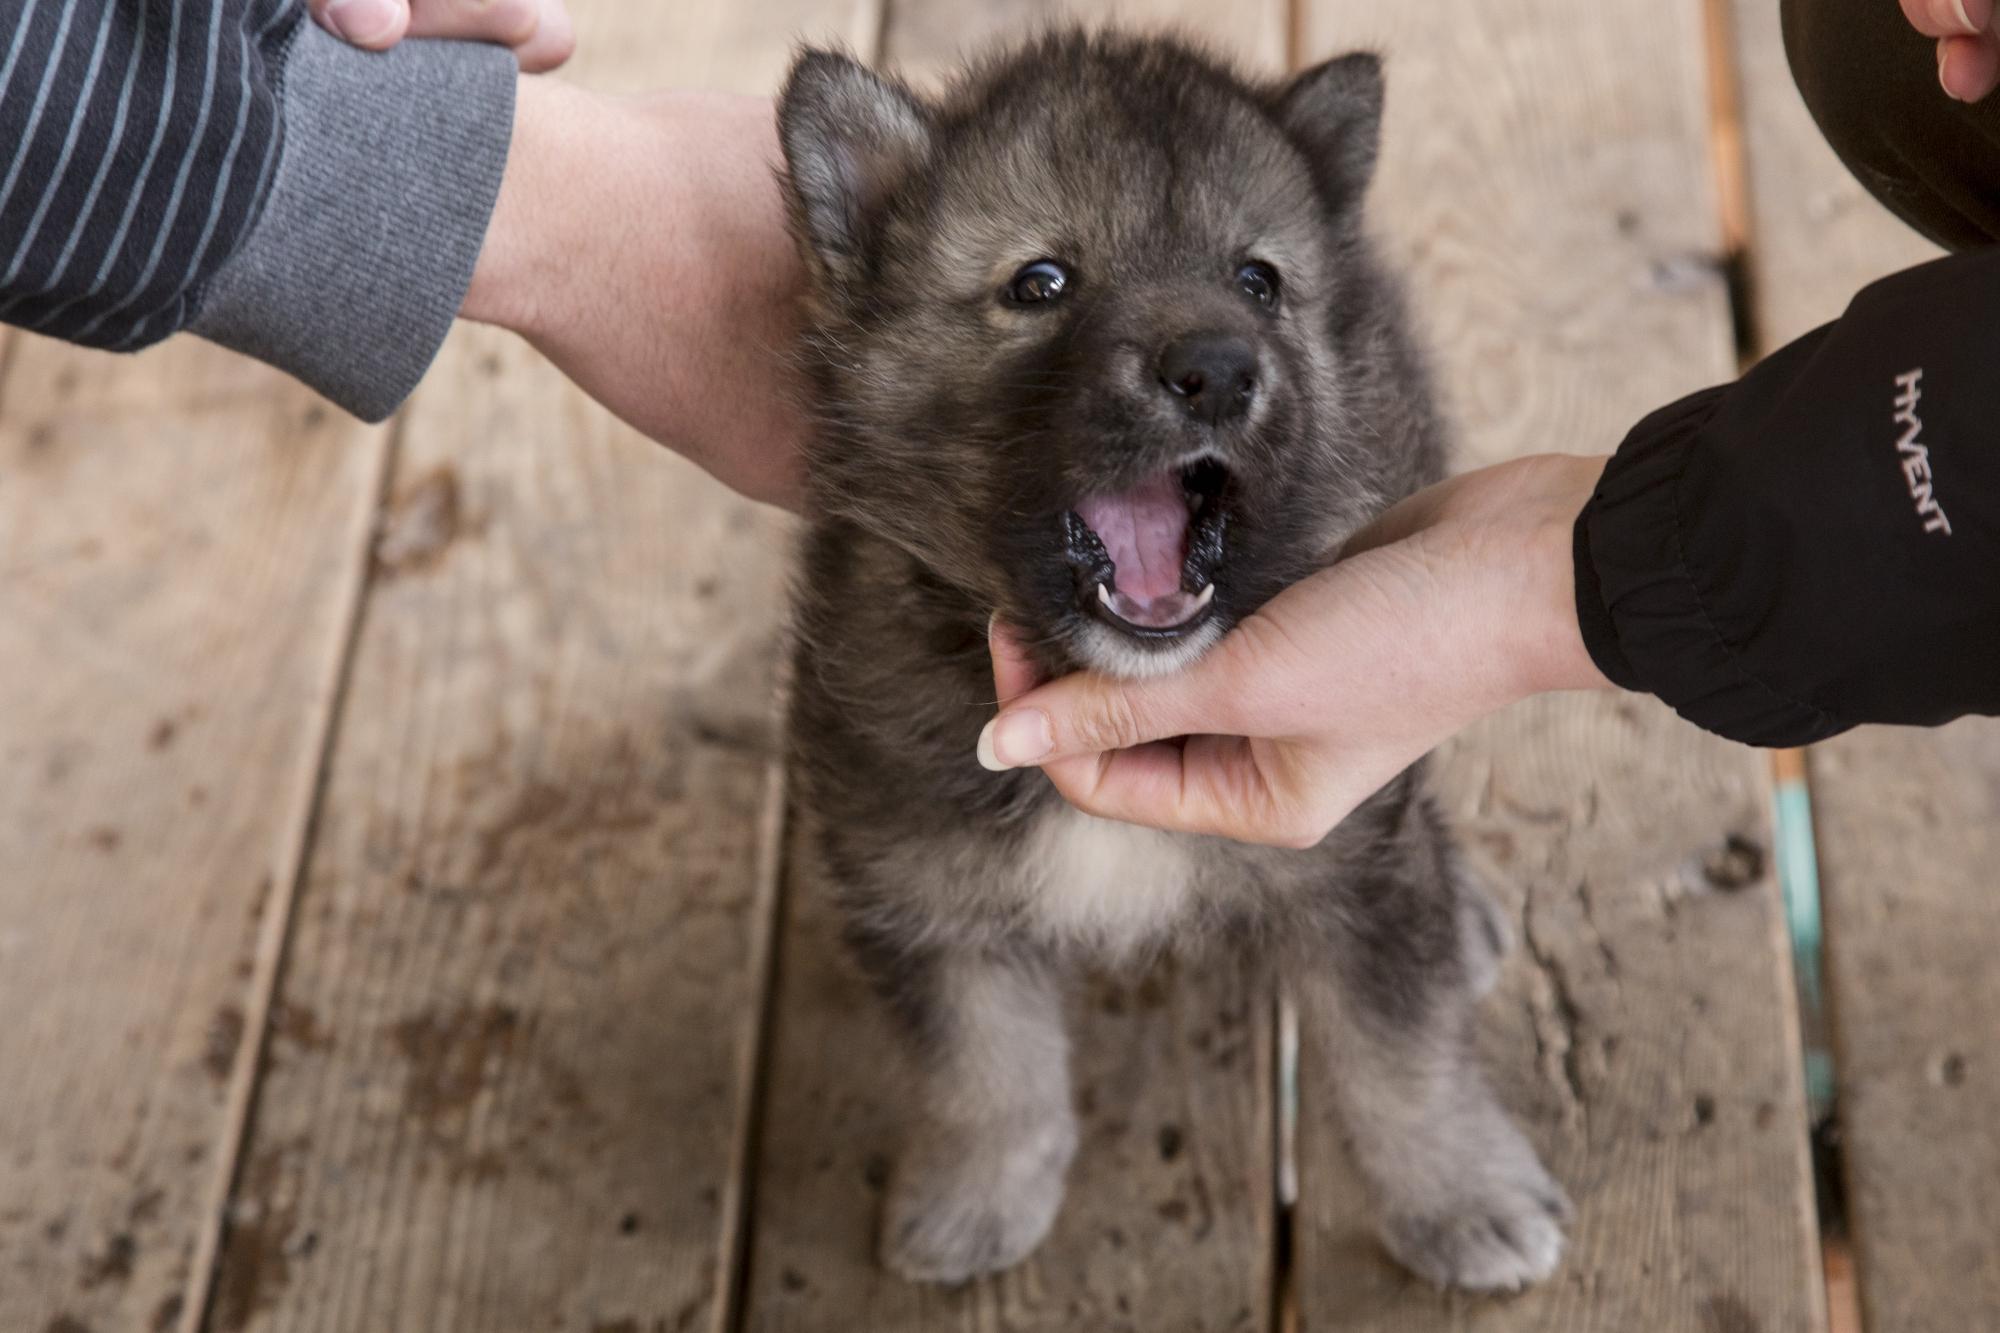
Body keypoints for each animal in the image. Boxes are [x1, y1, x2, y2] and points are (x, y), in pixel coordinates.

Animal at [772, 28, 1568, 1288]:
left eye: (1258, 280)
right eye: (1039, 283)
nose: (1218, 369)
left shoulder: (1348, 858)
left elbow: (1398, 1052)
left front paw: (1462, 1194)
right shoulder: (924, 880)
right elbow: (983, 1068)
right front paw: (975, 1197)